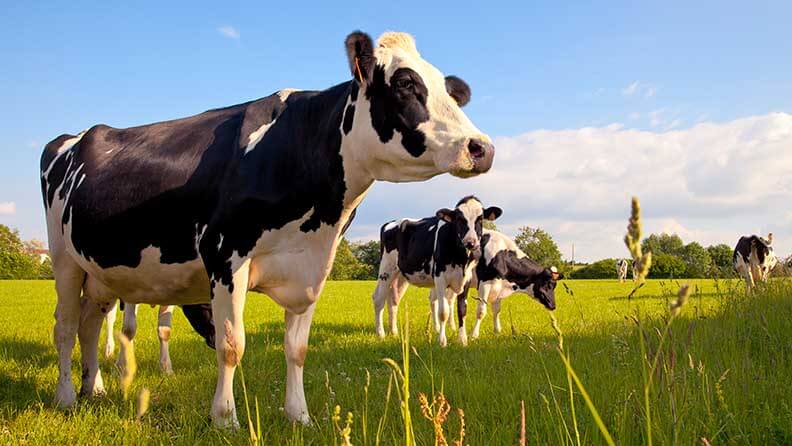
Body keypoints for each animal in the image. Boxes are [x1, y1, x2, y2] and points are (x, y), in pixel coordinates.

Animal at [372, 197, 502, 346]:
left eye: (480, 219)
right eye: (459, 219)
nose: (471, 242)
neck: (460, 258)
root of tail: (390, 223)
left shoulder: (466, 279)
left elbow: (462, 309)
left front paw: (462, 340)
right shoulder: (440, 278)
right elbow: (443, 312)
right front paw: (442, 341)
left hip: (401, 275)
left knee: (393, 299)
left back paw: (394, 333)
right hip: (386, 268)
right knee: (378, 298)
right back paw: (380, 334)